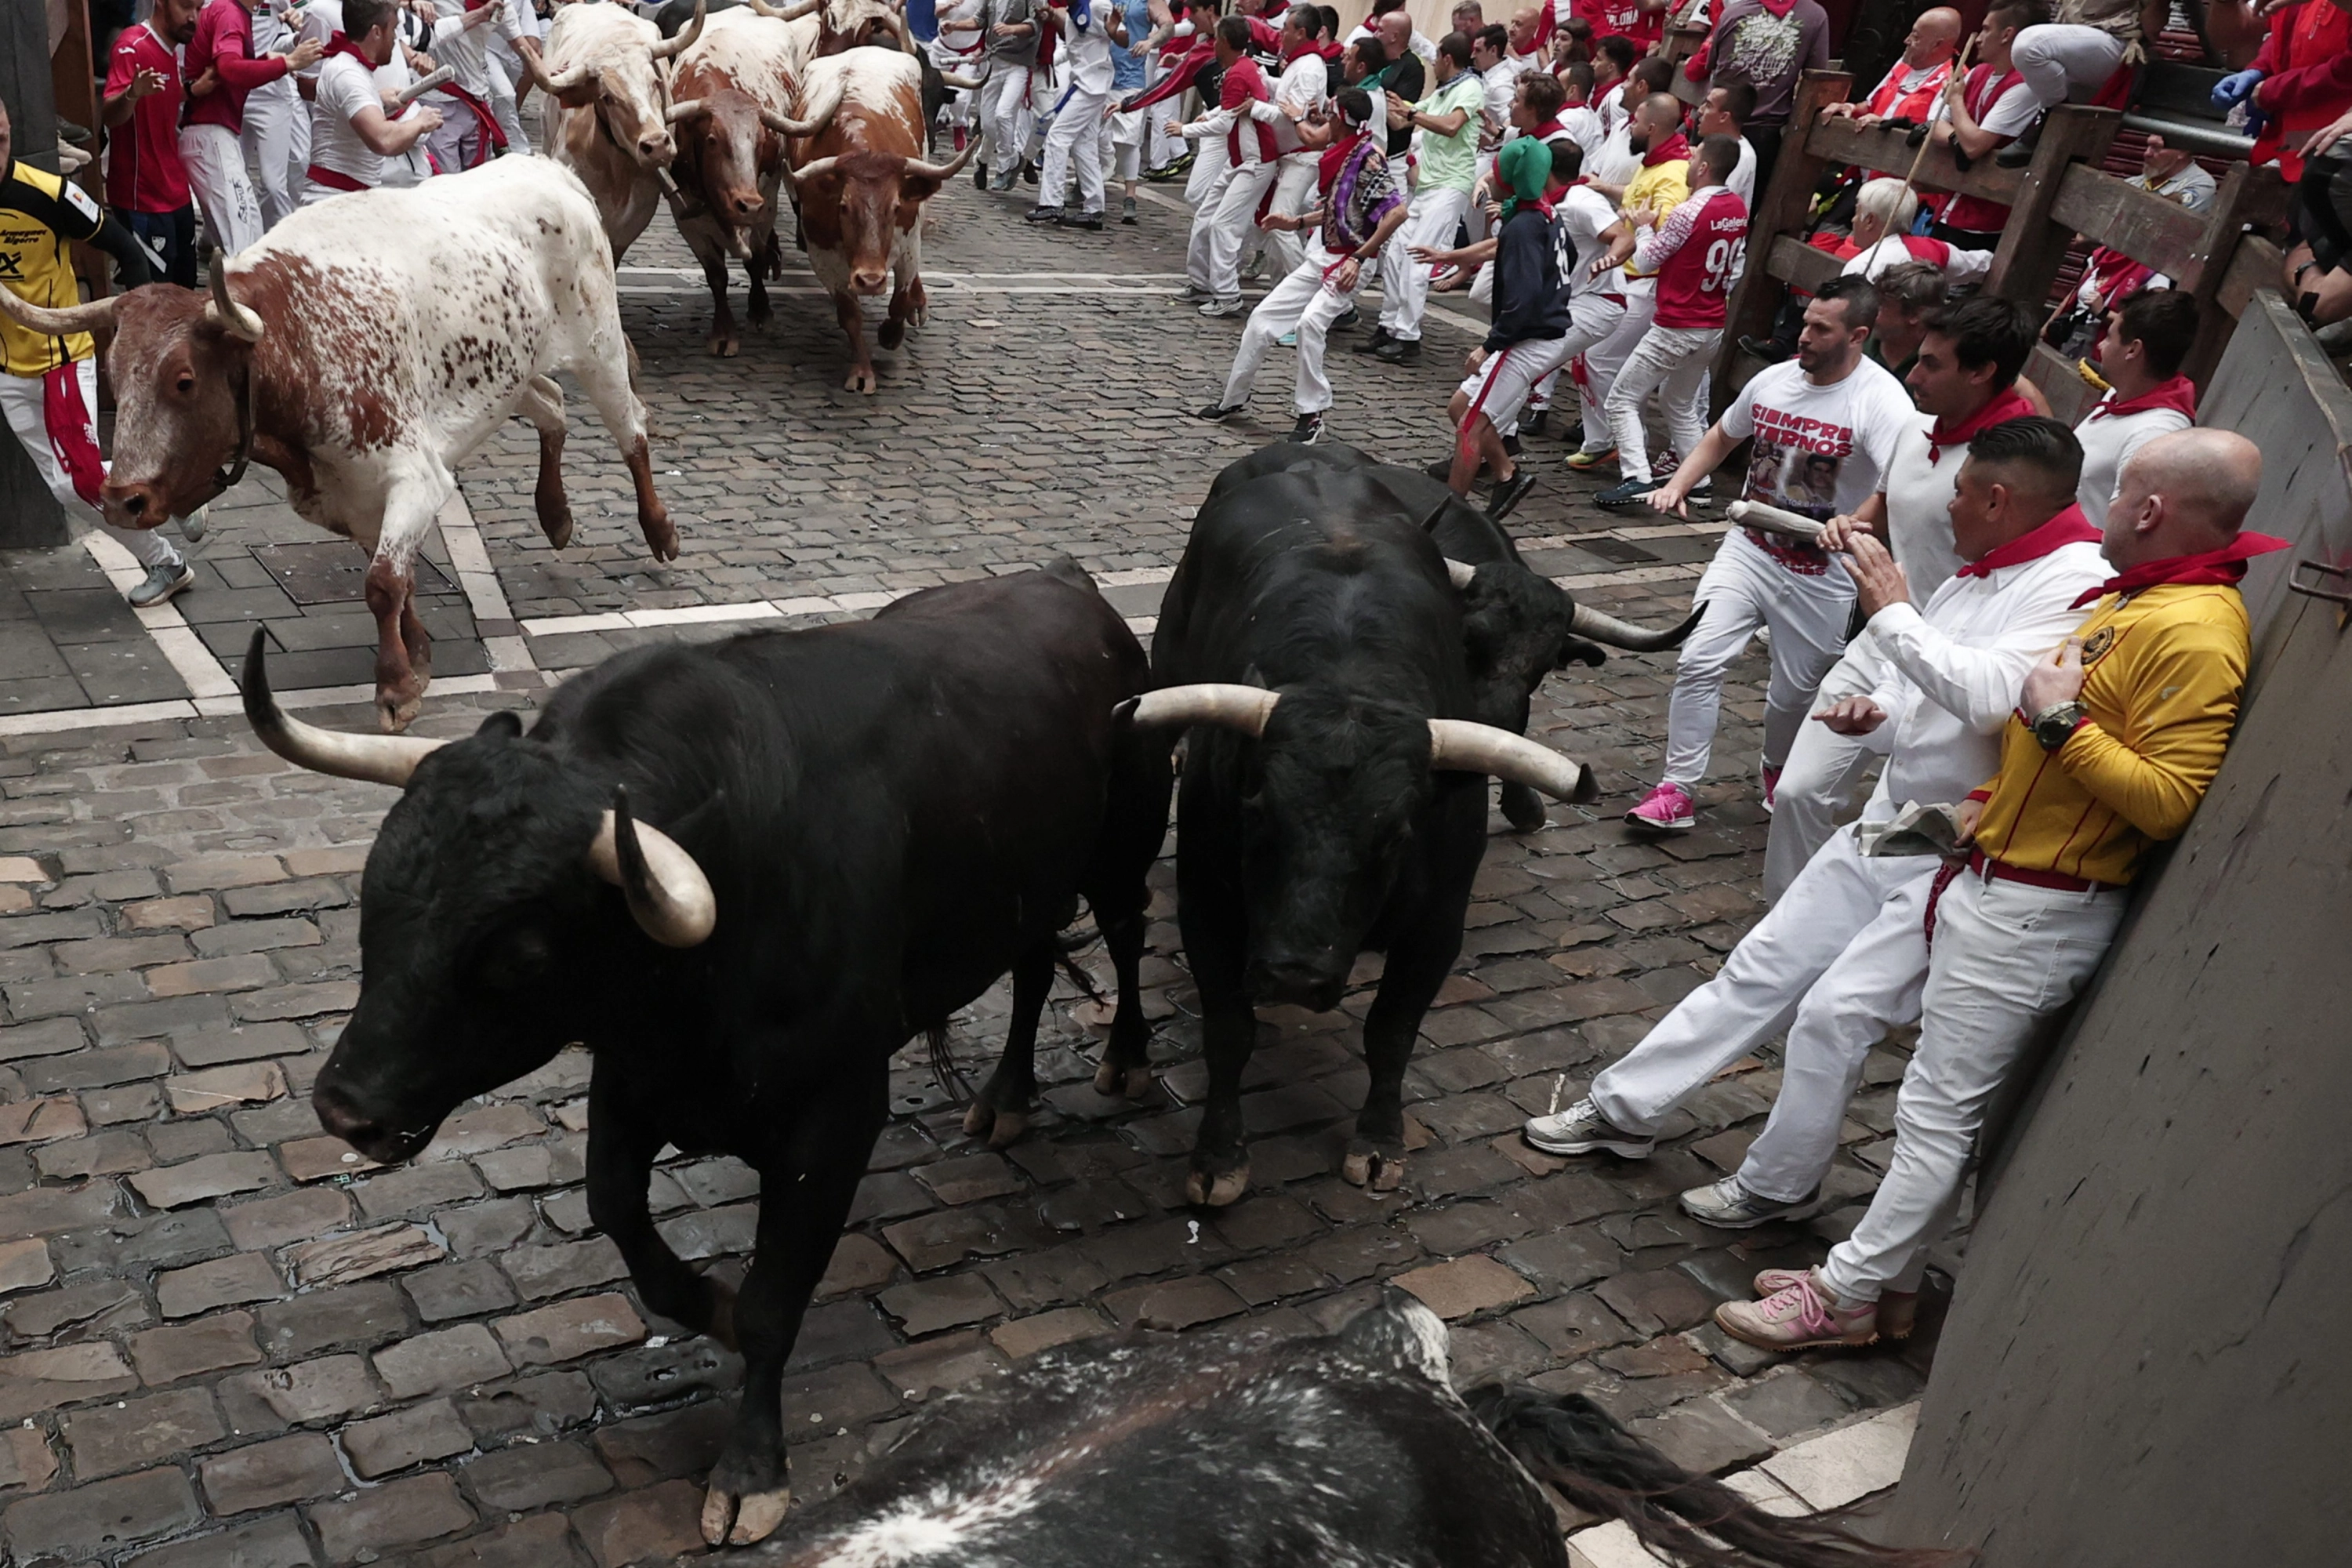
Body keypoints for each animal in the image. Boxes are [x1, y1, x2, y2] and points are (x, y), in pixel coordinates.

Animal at [257, 564, 1167, 1542]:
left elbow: (774, 1301)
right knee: (1034, 964)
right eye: (374, 894)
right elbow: (620, 1212)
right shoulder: (632, 1076)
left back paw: (1126, 1059)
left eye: (522, 955)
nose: (344, 1106)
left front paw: (751, 1467)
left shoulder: (836, 1110)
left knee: (1125, 935)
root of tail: (1065, 584)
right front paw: (711, 1309)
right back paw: (1006, 1094)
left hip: (1123, 849)